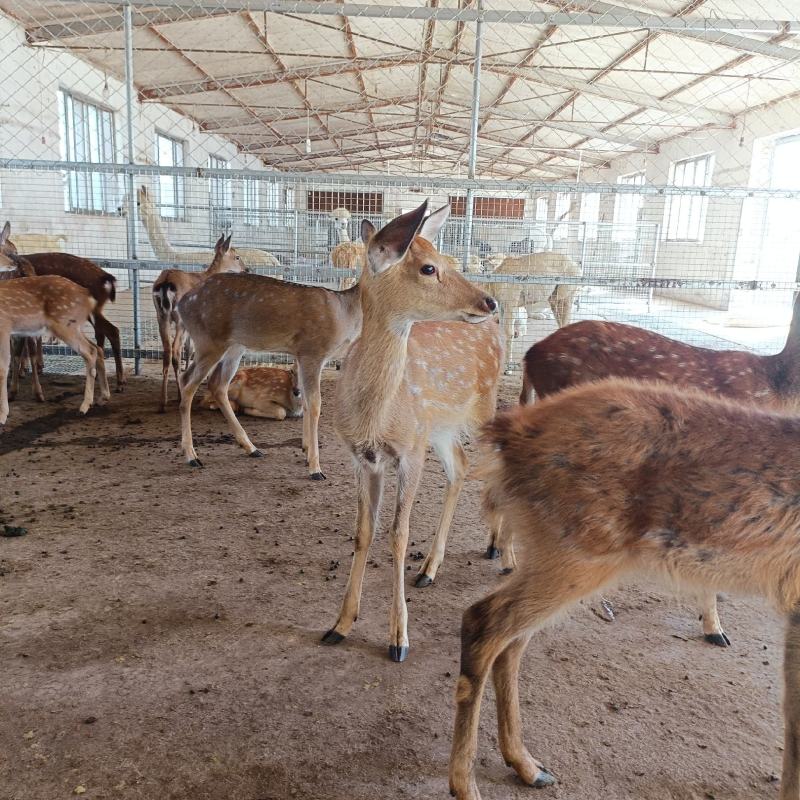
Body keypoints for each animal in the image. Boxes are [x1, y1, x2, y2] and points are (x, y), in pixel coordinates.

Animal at [0, 227, 109, 425]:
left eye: (13, 251)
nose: (13, 263)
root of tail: (87, 294)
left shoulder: (5, 329)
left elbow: (4, 366)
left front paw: (3, 414)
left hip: (63, 325)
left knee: (90, 351)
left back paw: (84, 406)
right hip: (73, 325)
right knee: (97, 348)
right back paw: (103, 397)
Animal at [152, 234, 247, 412]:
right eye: (237, 256)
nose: (246, 270)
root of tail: (165, 283)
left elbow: (189, 349)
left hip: (161, 316)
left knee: (167, 350)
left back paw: (163, 402)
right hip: (179, 320)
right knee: (175, 350)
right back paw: (179, 395)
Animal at [174, 257, 363, 480]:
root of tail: (182, 304)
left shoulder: (302, 356)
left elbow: (306, 402)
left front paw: (306, 451)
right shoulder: (313, 353)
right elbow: (315, 404)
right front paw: (315, 468)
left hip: (234, 346)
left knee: (215, 384)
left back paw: (251, 448)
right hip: (208, 340)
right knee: (188, 383)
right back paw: (191, 456)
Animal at [319, 201, 504, 662]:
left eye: (446, 259)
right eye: (428, 267)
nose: (489, 301)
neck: (376, 414)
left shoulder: (409, 452)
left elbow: (398, 535)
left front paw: (398, 638)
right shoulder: (363, 457)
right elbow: (364, 532)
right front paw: (340, 624)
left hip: (483, 406)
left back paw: (502, 549)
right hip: (439, 428)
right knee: (461, 466)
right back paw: (430, 569)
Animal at [450, 377, 800, 800]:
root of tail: (508, 431)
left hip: (551, 552)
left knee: (512, 640)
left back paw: (529, 767)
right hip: (579, 553)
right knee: (483, 622)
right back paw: (467, 785)